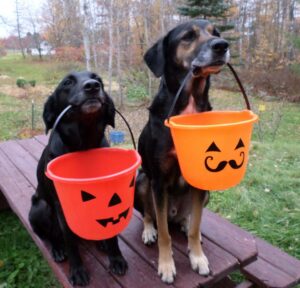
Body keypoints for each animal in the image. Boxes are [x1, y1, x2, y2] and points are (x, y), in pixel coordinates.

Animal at [30, 71, 127, 286]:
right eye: (67, 82)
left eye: (98, 79)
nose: (92, 86)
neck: (84, 146)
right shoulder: (62, 205)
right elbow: (70, 241)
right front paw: (77, 271)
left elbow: (113, 231)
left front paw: (116, 258)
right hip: (41, 207)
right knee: (50, 235)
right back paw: (57, 249)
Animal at [134, 20, 230, 284]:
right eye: (188, 36)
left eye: (216, 33)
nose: (222, 45)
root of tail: (174, 214)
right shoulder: (158, 181)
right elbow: (165, 236)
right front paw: (166, 266)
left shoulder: (200, 176)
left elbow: (196, 227)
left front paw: (198, 258)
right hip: (142, 181)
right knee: (150, 216)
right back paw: (149, 230)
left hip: (205, 193)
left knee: (189, 219)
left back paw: (185, 224)